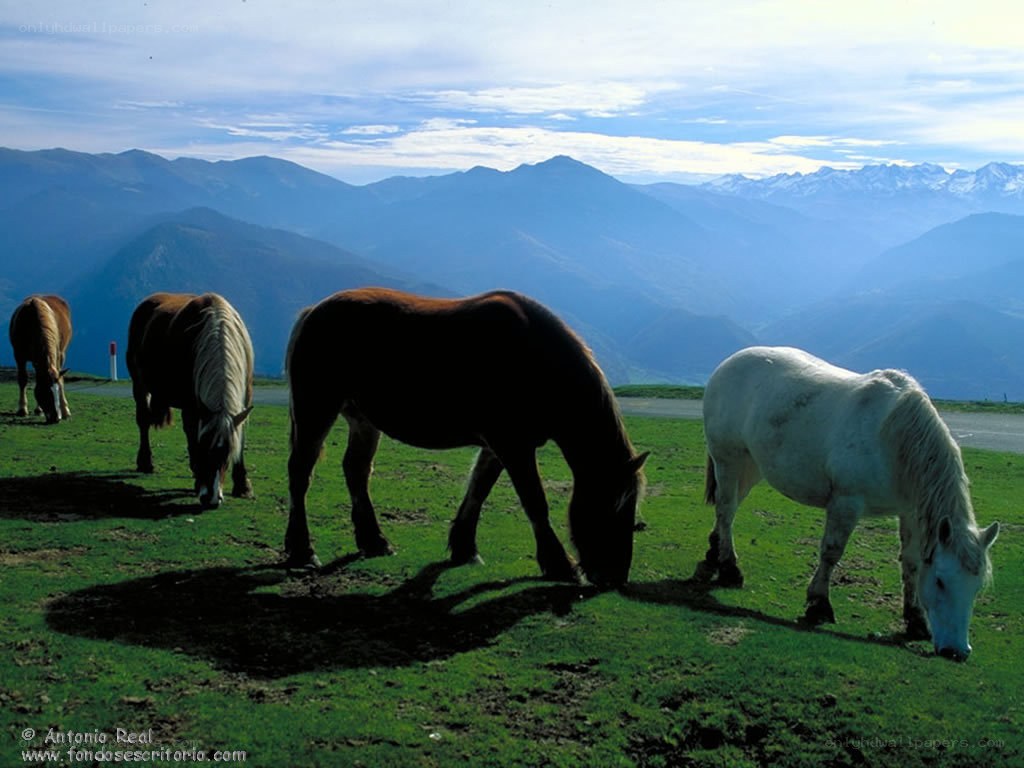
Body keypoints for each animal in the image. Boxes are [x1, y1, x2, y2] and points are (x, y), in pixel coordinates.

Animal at [9, 294, 72, 423]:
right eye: (45, 392)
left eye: (57, 390)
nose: (56, 418)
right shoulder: (18, 355)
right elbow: (23, 379)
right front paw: (22, 409)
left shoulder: (57, 355)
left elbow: (60, 380)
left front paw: (64, 410)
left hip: (61, 354)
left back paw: (63, 410)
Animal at [126, 292, 255, 509]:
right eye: (203, 448)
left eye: (227, 454)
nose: (211, 498)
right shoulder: (192, 405)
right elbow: (191, 436)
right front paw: (198, 480)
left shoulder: (244, 399)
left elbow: (241, 437)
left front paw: (242, 485)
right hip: (139, 382)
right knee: (143, 420)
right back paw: (145, 462)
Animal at [284, 287, 648, 588]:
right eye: (616, 505)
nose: (615, 577)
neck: (535, 358)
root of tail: (313, 310)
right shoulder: (512, 446)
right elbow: (535, 502)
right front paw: (559, 563)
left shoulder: (498, 447)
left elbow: (478, 491)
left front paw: (463, 548)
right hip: (316, 409)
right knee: (301, 472)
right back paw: (303, 550)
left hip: (362, 420)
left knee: (356, 471)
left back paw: (374, 541)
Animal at [699, 346, 999, 661]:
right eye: (941, 581)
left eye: (977, 586)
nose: (957, 651)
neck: (891, 438)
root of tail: (730, 362)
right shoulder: (846, 503)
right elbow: (831, 552)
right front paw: (819, 604)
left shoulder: (909, 511)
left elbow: (912, 563)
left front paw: (915, 619)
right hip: (728, 461)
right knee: (726, 510)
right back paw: (729, 568)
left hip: (750, 466)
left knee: (728, 510)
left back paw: (714, 551)